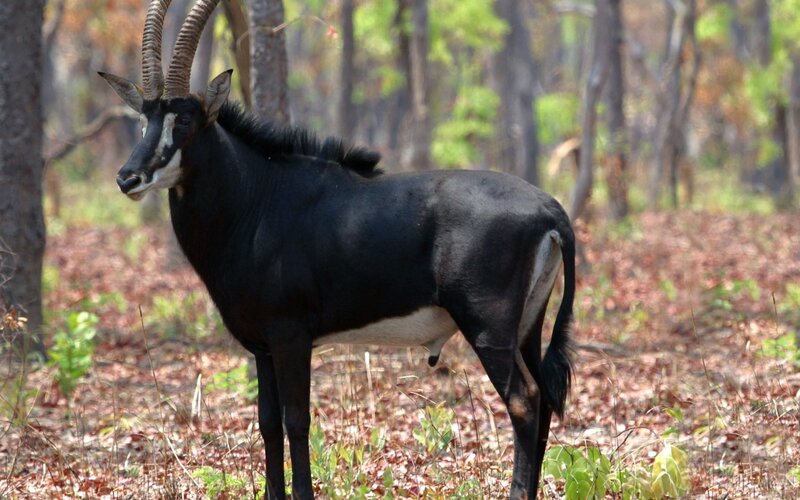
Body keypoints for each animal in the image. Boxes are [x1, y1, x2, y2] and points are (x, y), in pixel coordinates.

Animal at [99, 1, 575, 497]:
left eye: (185, 121)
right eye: (144, 120)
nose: (128, 178)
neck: (256, 198)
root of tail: (549, 209)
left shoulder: (291, 336)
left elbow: (296, 420)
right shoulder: (262, 346)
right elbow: (267, 423)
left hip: (488, 329)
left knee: (524, 401)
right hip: (527, 327)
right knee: (544, 400)